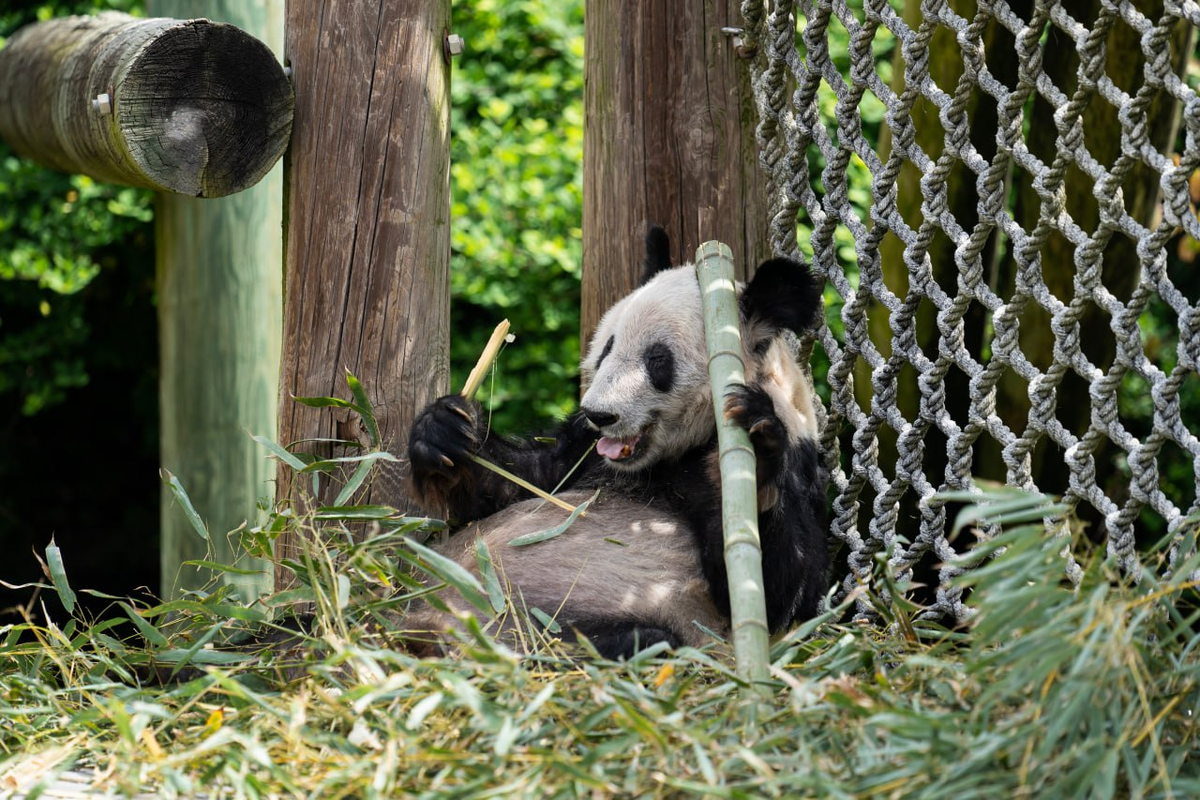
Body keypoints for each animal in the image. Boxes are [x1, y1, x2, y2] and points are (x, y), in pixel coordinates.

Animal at [403, 227, 825, 662]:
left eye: (658, 360)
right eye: (607, 347)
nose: (599, 414)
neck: (670, 456)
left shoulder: (801, 462)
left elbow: (782, 592)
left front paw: (755, 454)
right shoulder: (582, 450)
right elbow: (522, 481)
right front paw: (443, 432)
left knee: (635, 640)